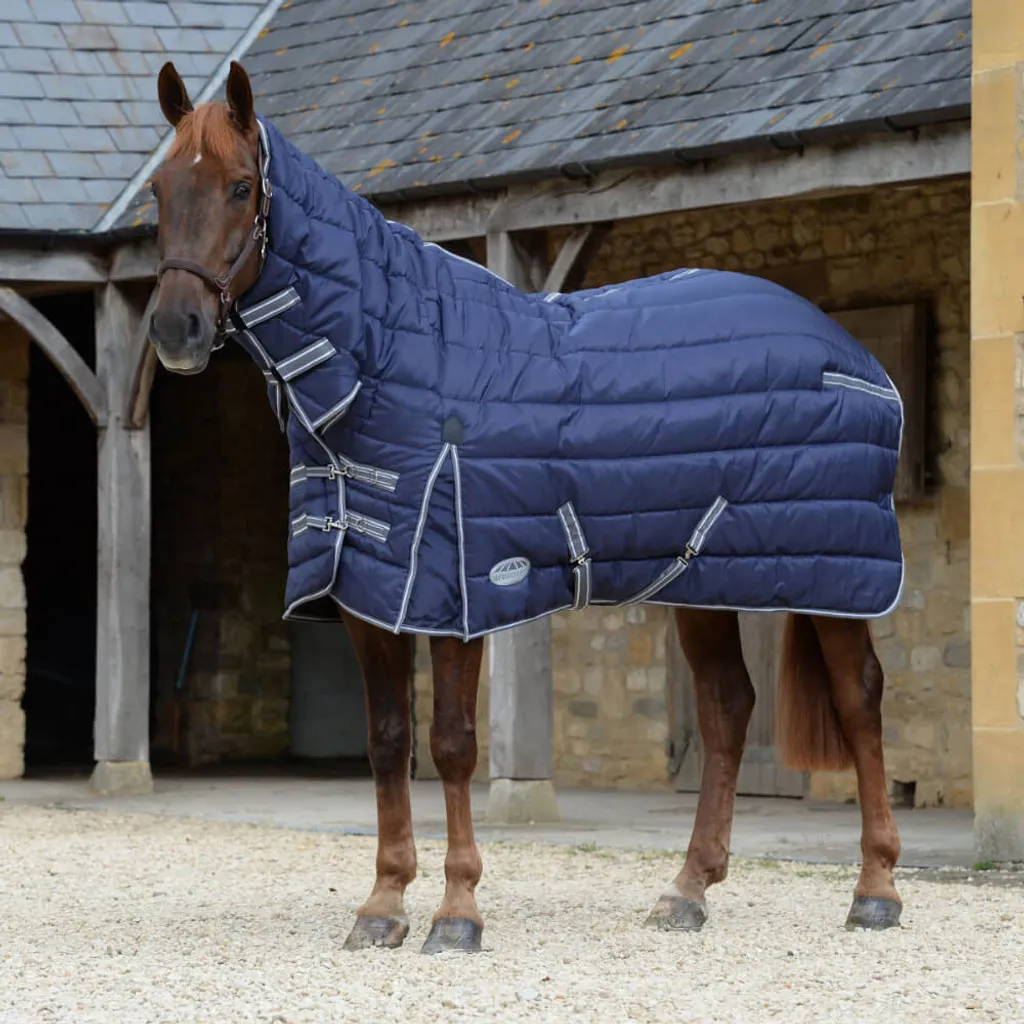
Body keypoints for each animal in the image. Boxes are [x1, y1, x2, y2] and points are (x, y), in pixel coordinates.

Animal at [147, 59, 904, 953]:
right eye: (159, 189)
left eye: (239, 186)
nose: (176, 329)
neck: (387, 356)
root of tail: (853, 354)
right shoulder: (370, 592)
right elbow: (386, 741)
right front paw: (382, 905)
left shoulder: (454, 590)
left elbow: (452, 744)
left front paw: (457, 912)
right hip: (702, 578)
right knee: (727, 711)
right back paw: (687, 891)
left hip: (836, 574)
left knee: (859, 700)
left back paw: (876, 890)